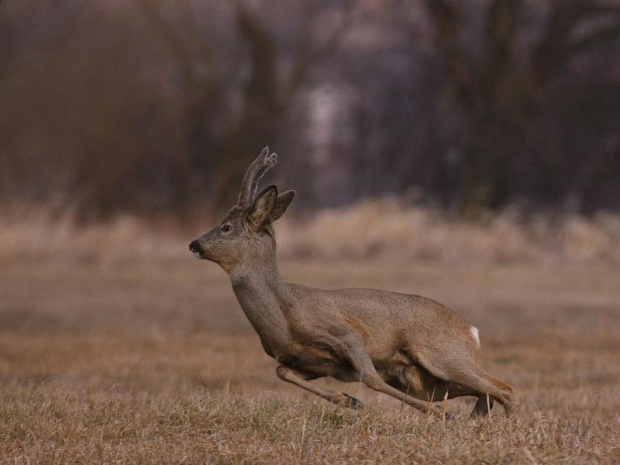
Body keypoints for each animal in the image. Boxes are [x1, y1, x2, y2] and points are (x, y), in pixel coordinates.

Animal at [190, 148, 520, 416]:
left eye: (226, 227)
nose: (194, 244)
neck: (285, 314)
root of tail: (470, 330)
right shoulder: (311, 363)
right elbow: (282, 372)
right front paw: (349, 401)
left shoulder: (346, 334)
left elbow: (371, 378)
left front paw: (439, 414)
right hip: (423, 379)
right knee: (489, 391)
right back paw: (477, 419)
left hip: (443, 354)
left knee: (506, 389)